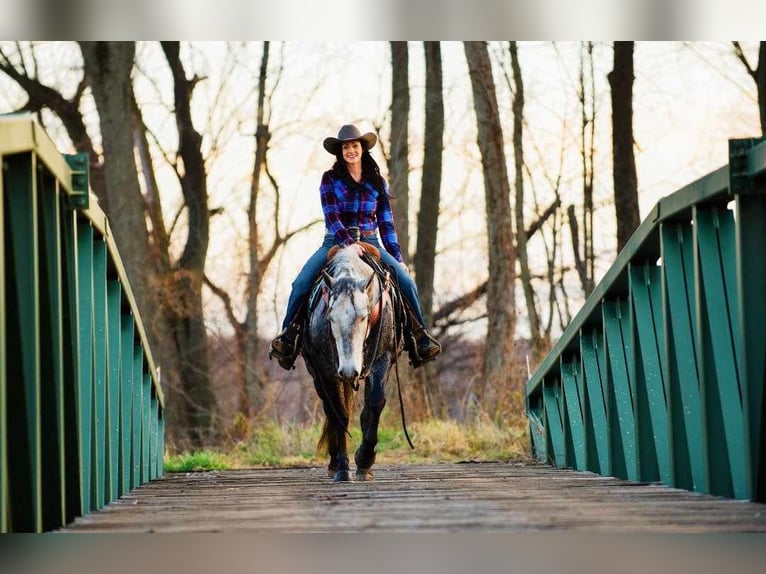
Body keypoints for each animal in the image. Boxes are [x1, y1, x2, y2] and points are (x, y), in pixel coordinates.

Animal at [302, 243, 404, 482]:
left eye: (364, 316)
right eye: (330, 318)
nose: (349, 371)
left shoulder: (382, 359)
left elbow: (374, 404)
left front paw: (365, 461)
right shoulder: (326, 369)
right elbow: (339, 413)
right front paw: (342, 467)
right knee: (330, 409)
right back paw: (333, 463)